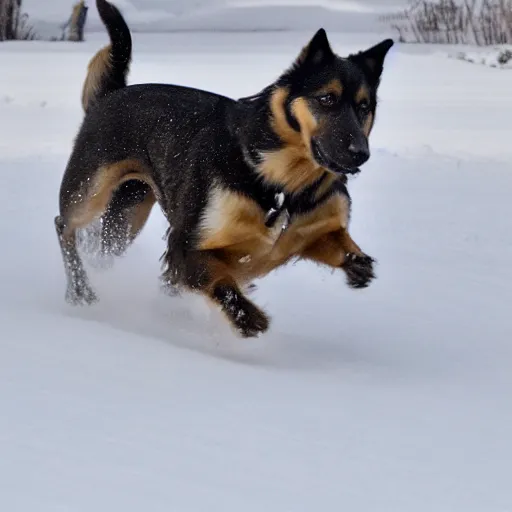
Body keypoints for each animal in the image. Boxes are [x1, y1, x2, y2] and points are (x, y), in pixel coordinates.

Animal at [54, 0, 394, 338]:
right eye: (326, 99)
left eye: (364, 107)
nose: (360, 153)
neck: (283, 183)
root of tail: (113, 92)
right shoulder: (185, 247)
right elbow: (220, 281)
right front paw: (247, 317)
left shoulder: (314, 229)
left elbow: (340, 243)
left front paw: (359, 265)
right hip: (90, 188)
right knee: (64, 225)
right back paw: (80, 291)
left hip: (126, 216)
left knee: (99, 248)